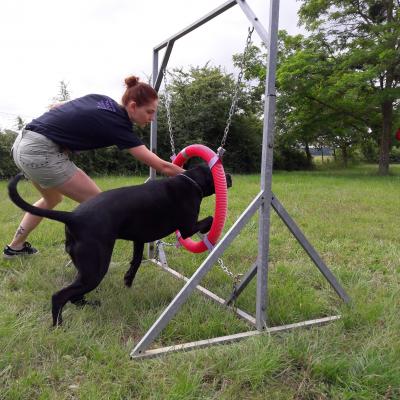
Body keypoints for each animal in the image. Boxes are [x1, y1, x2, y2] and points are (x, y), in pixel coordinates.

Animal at [8, 166, 231, 324]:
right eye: (220, 169)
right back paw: (58, 325)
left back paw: (89, 304)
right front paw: (209, 233)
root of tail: (72, 217)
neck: (191, 180)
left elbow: (136, 261)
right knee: (60, 296)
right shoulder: (187, 228)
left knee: (74, 295)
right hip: (95, 270)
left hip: (86, 270)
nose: (229, 176)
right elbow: (210, 219)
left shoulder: (139, 239)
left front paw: (128, 280)